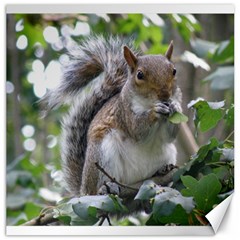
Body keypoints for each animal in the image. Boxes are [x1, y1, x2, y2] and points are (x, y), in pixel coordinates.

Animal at [41, 35, 182, 197]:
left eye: (174, 71)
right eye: (140, 75)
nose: (165, 95)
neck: (148, 102)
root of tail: (83, 190)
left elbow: (169, 135)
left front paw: (176, 107)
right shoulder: (124, 112)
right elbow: (138, 130)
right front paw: (155, 111)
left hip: (169, 152)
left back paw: (163, 170)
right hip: (102, 153)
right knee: (99, 185)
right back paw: (106, 188)